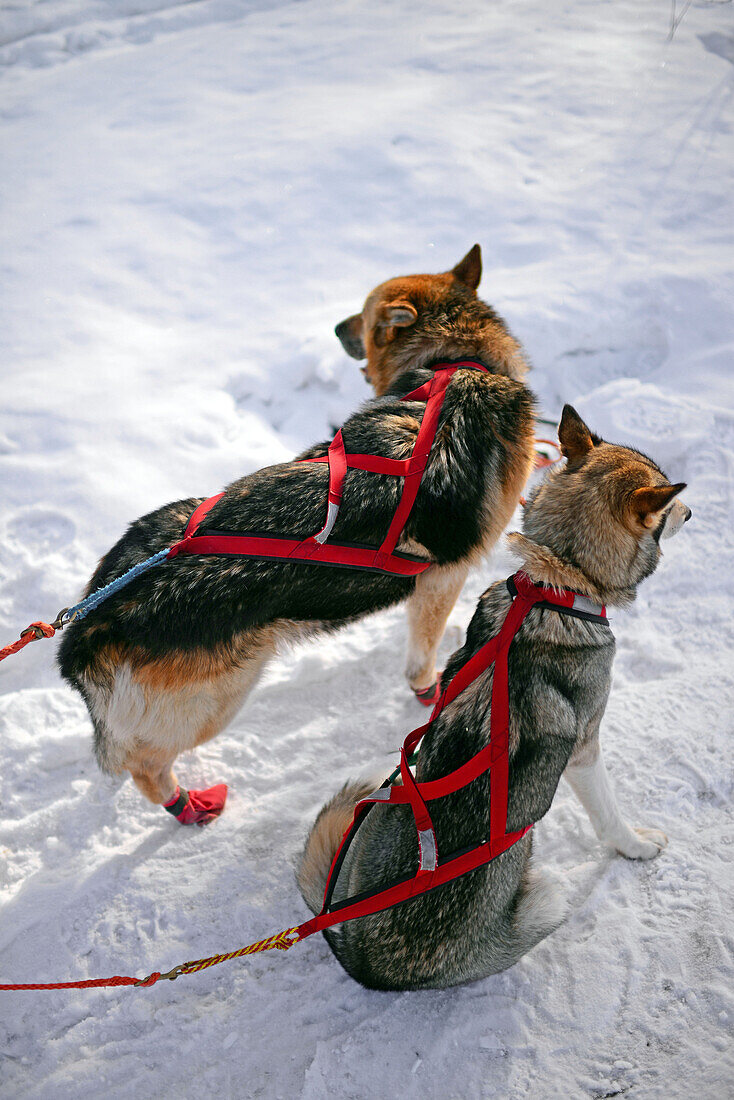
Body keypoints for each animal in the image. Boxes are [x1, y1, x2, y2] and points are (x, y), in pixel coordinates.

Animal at [58, 245, 534, 822]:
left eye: (361, 315)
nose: (334, 327)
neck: (457, 359)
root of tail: (92, 622)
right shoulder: (443, 580)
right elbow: (422, 657)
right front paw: (428, 691)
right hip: (215, 701)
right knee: (143, 765)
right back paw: (184, 803)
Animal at [297, 409, 691, 994]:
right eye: (666, 507)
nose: (693, 508)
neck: (555, 585)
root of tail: (365, 962)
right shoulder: (585, 749)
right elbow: (609, 814)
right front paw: (636, 846)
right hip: (548, 894)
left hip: (375, 812)